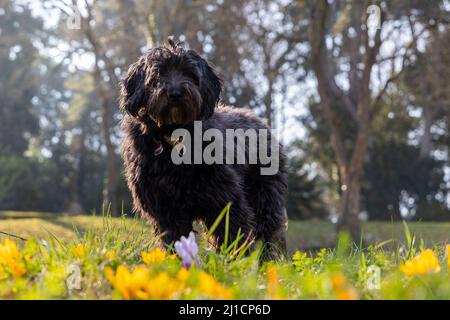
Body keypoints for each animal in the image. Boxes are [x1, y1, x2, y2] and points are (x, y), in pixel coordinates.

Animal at [119, 38, 288, 258]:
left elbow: (234, 232)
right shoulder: (165, 208)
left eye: (189, 73)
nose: (175, 93)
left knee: (266, 233)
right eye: (158, 74)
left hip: (264, 197)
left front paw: (238, 261)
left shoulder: (224, 199)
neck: (174, 138)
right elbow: (174, 237)